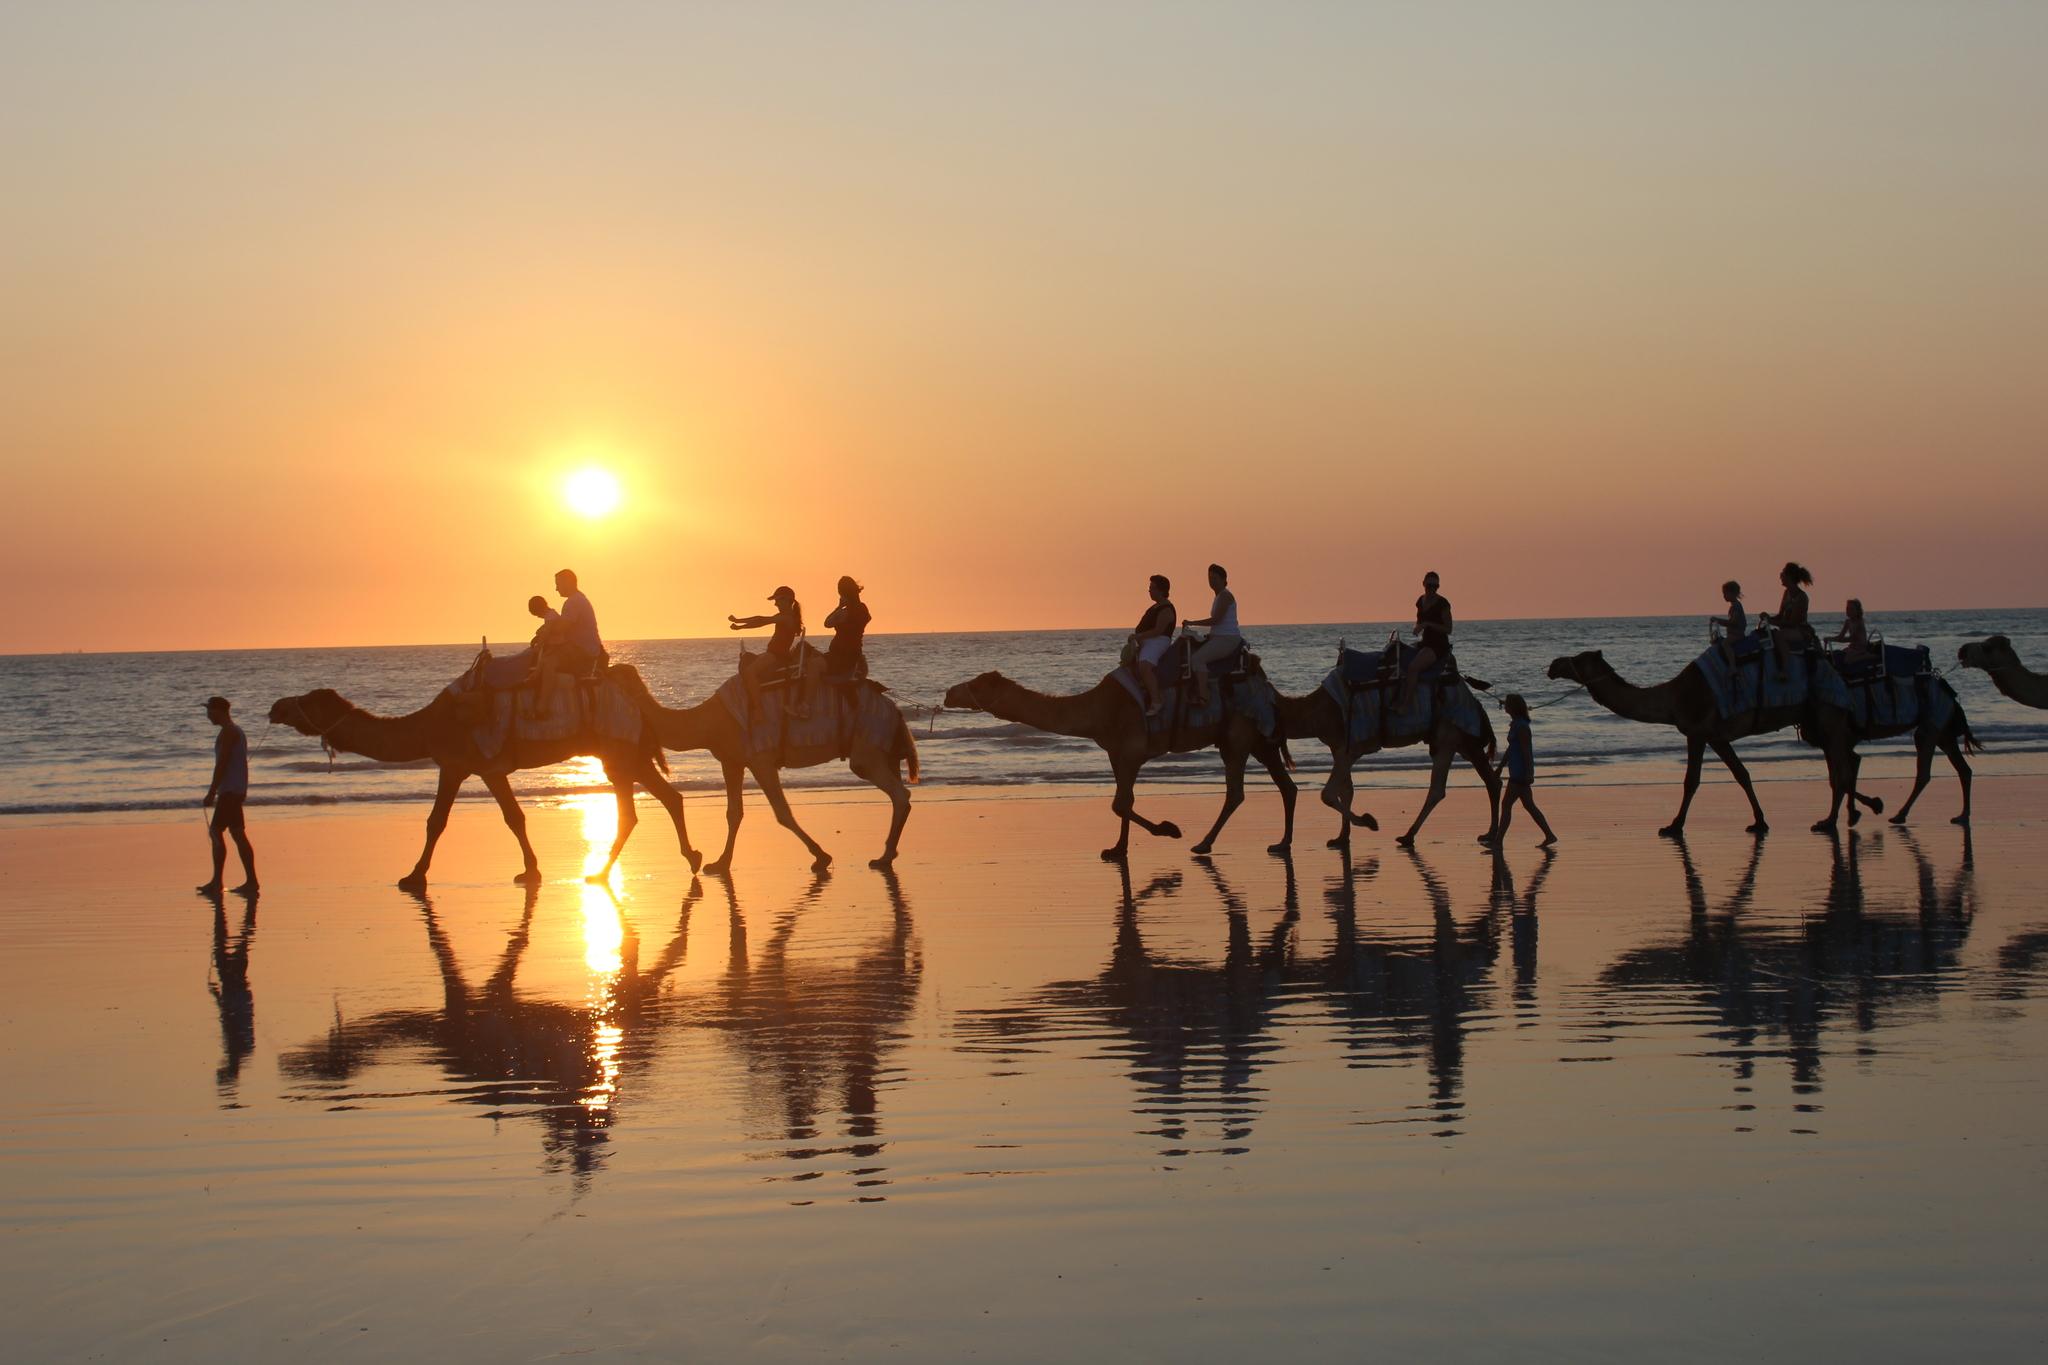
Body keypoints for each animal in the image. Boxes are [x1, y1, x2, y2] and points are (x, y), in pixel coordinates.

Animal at [269, 672, 698, 891]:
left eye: (308, 701)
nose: (275, 707)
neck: (428, 726)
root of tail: (638, 699)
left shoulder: (462, 764)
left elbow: (441, 822)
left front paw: (413, 876)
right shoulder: (480, 767)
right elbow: (511, 818)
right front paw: (530, 870)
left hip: (620, 748)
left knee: (656, 801)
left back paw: (681, 860)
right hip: (620, 753)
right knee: (647, 806)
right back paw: (608, 871)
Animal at [609, 670, 920, 873]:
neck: (708, 722)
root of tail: (895, 711)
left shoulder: (761, 760)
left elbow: (782, 813)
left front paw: (821, 856)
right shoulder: (731, 761)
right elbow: (734, 813)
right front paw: (719, 863)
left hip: (867, 749)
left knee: (898, 793)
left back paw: (884, 856)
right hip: (882, 751)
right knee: (898, 795)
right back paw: (887, 854)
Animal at [941, 670, 1297, 860]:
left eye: (978, 683)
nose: (948, 693)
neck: (1097, 710)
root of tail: (1268, 690)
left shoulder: (1132, 750)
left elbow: (1120, 803)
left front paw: (1169, 829)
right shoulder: (1116, 753)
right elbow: (1123, 802)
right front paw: (1117, 848)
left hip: (1237, 735)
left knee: (1236, 792)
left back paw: (1203, 843)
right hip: (1259, 739)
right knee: (1286, 785)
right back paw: (1281, 843)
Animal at [1272, 683, 1499, 849]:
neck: (1317, 711)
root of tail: (1476, 704)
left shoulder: (1349, 748)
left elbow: (1327, 794)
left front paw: (1369, 821)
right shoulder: (1339, 748)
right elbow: (1346, 790)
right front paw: (1341, 838)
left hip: (1450, 736)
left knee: (1453, 786)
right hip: (1458, 741)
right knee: (1479, 781)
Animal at [1546, 649, 1879, 836]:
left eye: (1577, 659)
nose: (1552, 665)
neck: (1671, 698)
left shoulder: (1696, 731)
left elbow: (1691, 781)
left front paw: (1673, 826)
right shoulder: (1716, 737)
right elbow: (1742, 774)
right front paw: (1759, 821)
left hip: (1828, 714)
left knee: (1841, 769)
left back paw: (1834, 819)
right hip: (1821, 719)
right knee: (1844, 764)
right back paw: (1859, 810)